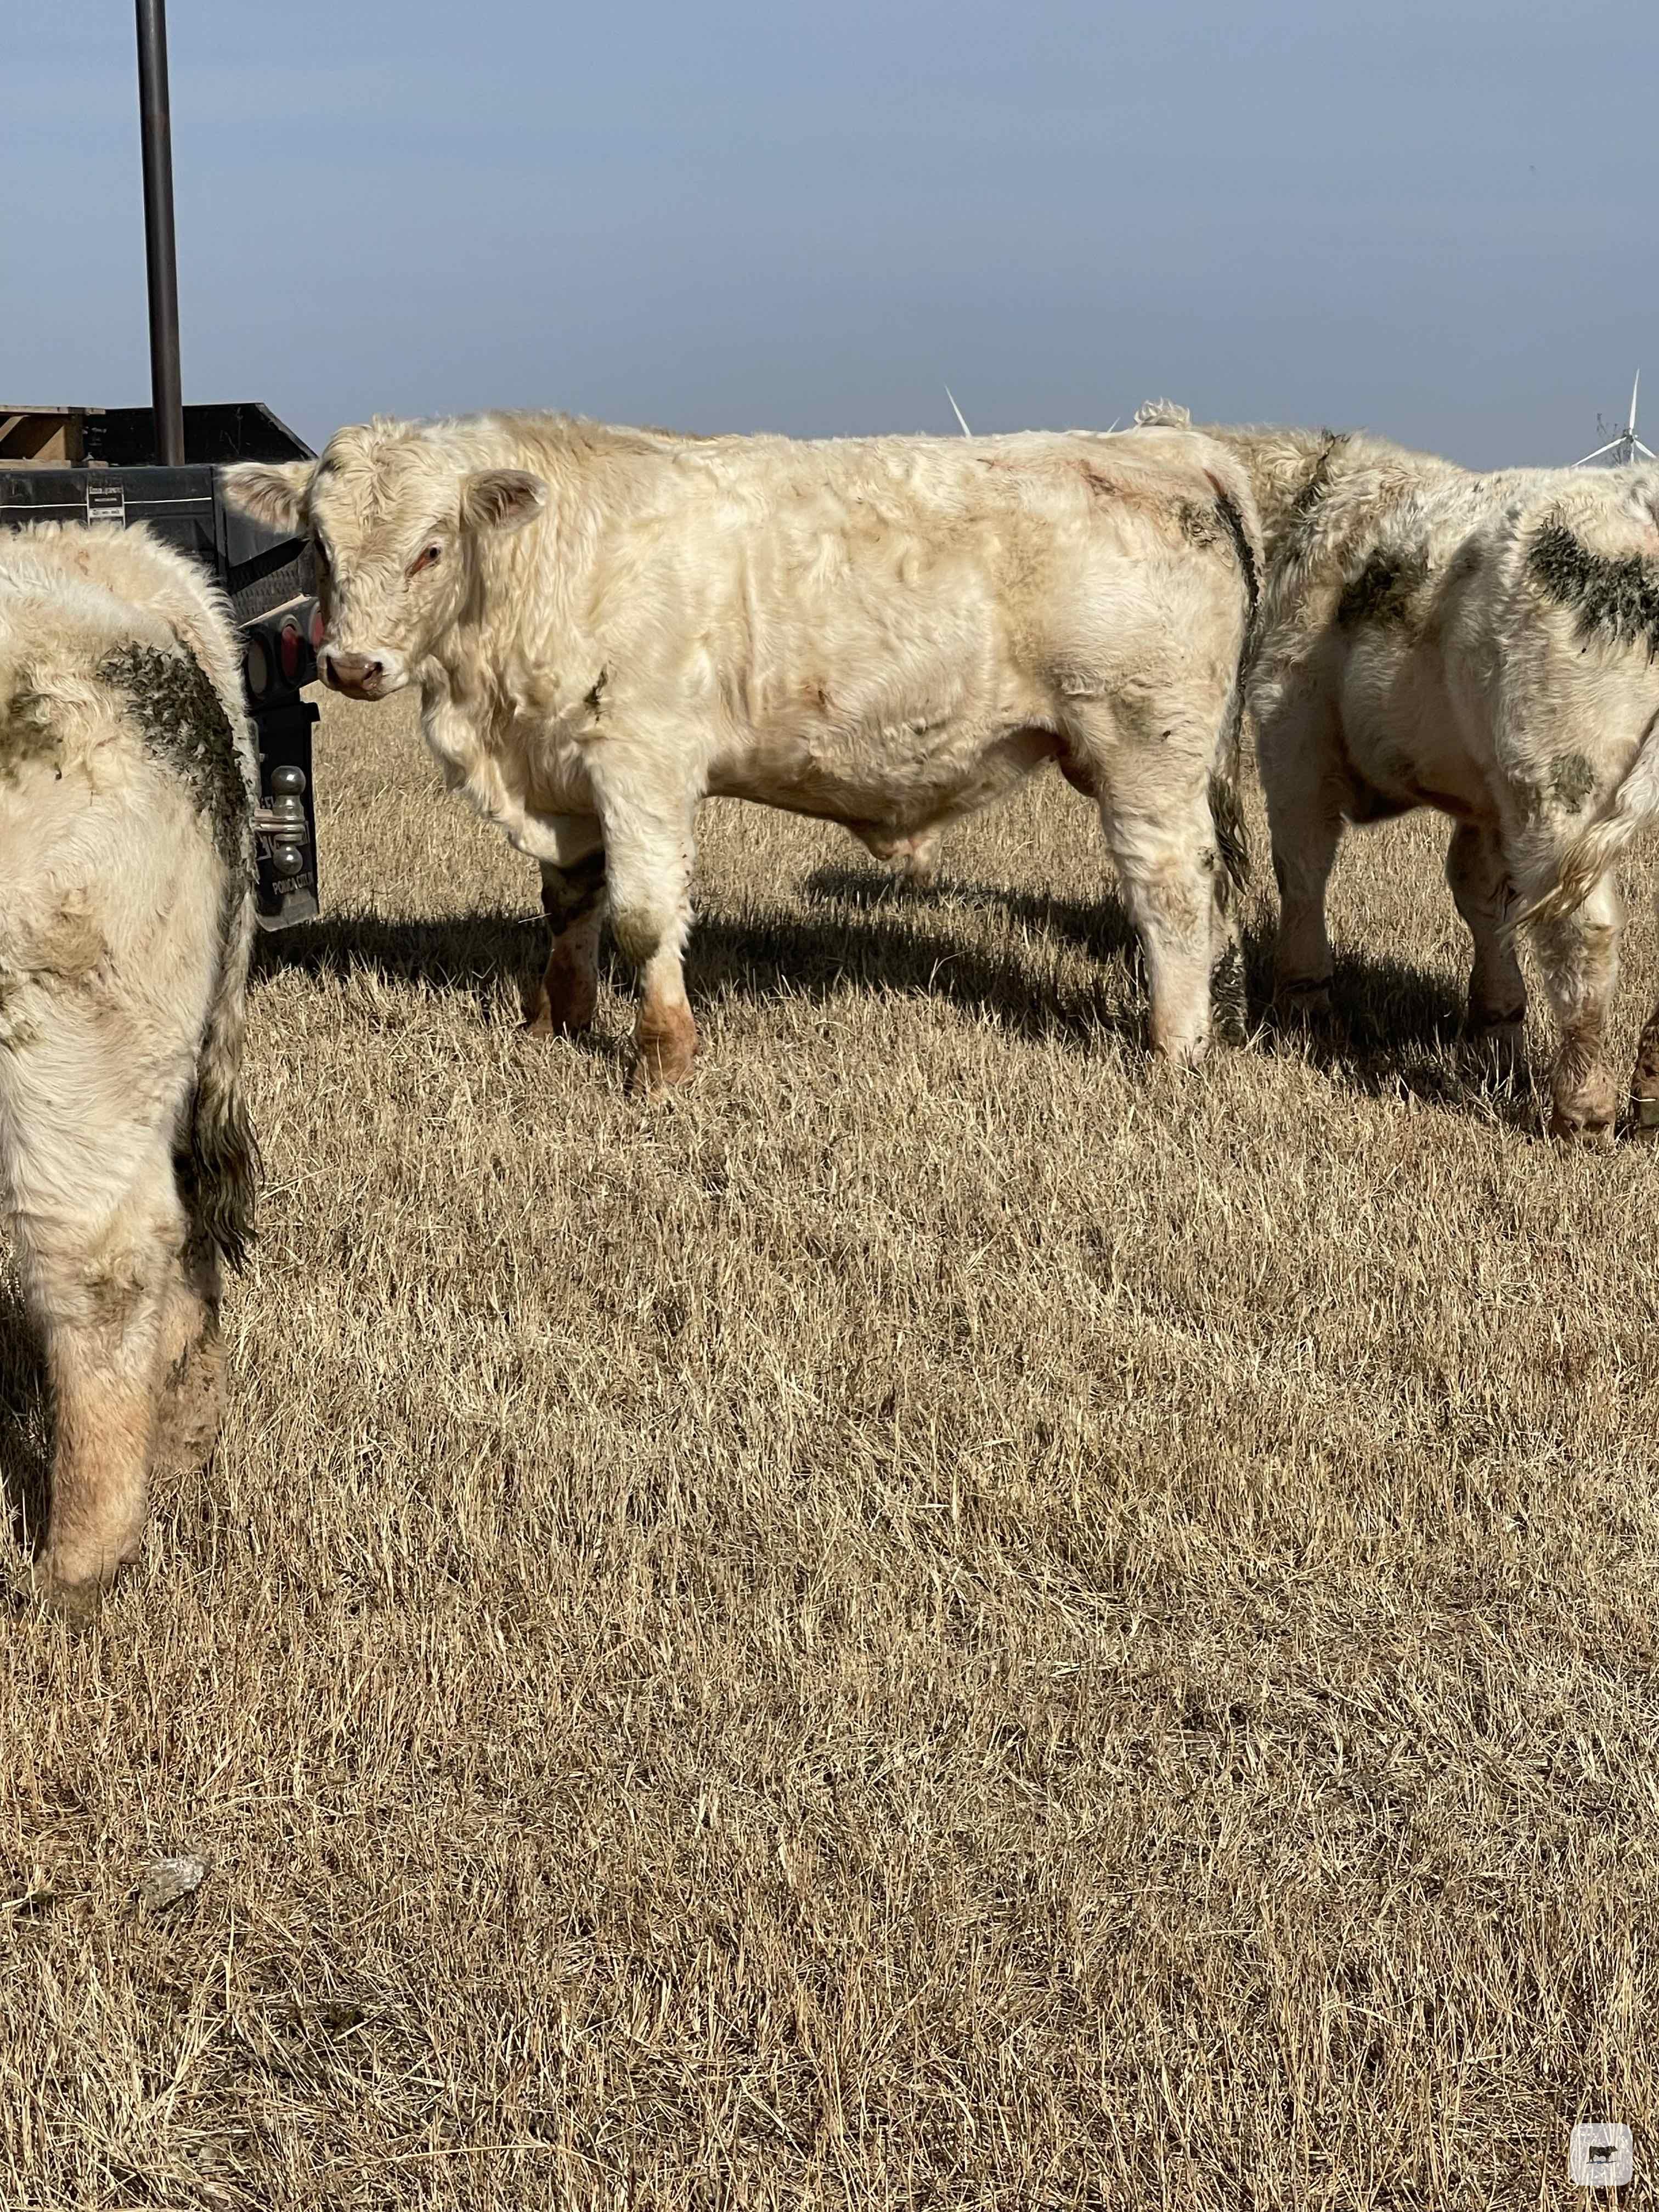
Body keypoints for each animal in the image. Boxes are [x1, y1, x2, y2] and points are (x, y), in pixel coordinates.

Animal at [224, 412, 1262, 1086]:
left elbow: (644, 917)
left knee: (1172, 891)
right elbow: (570, 903)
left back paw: (1171, 1050)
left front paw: (661, 1060)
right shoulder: (559, 773)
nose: (352, 664)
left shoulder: (641, 760)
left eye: (431, 548)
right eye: (316, 546)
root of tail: (1167, 446)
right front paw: (555, 1022)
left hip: (1143, 750)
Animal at [1136, 402, 1659, 1142]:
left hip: (1560, 782)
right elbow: (1480, 894)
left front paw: (1305, 1006)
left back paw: (1581, 1108)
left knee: (1583, 930)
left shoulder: (1292, 735)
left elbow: (1302, 868)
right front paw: (1495, 1030)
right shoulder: (1484, 796)